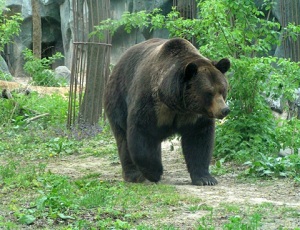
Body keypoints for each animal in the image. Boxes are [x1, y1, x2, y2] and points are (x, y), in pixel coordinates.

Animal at [104, 37, 231, 185]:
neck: (175, 103)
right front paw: (154, 173)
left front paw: (205, 178)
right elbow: (142, 132)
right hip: (118, 97)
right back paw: (134, 174)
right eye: (209, 93)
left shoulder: (195, 115)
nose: (224, 110)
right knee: (123, 137)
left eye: (222, 90)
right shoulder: (152, 104)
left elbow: (199, 140)